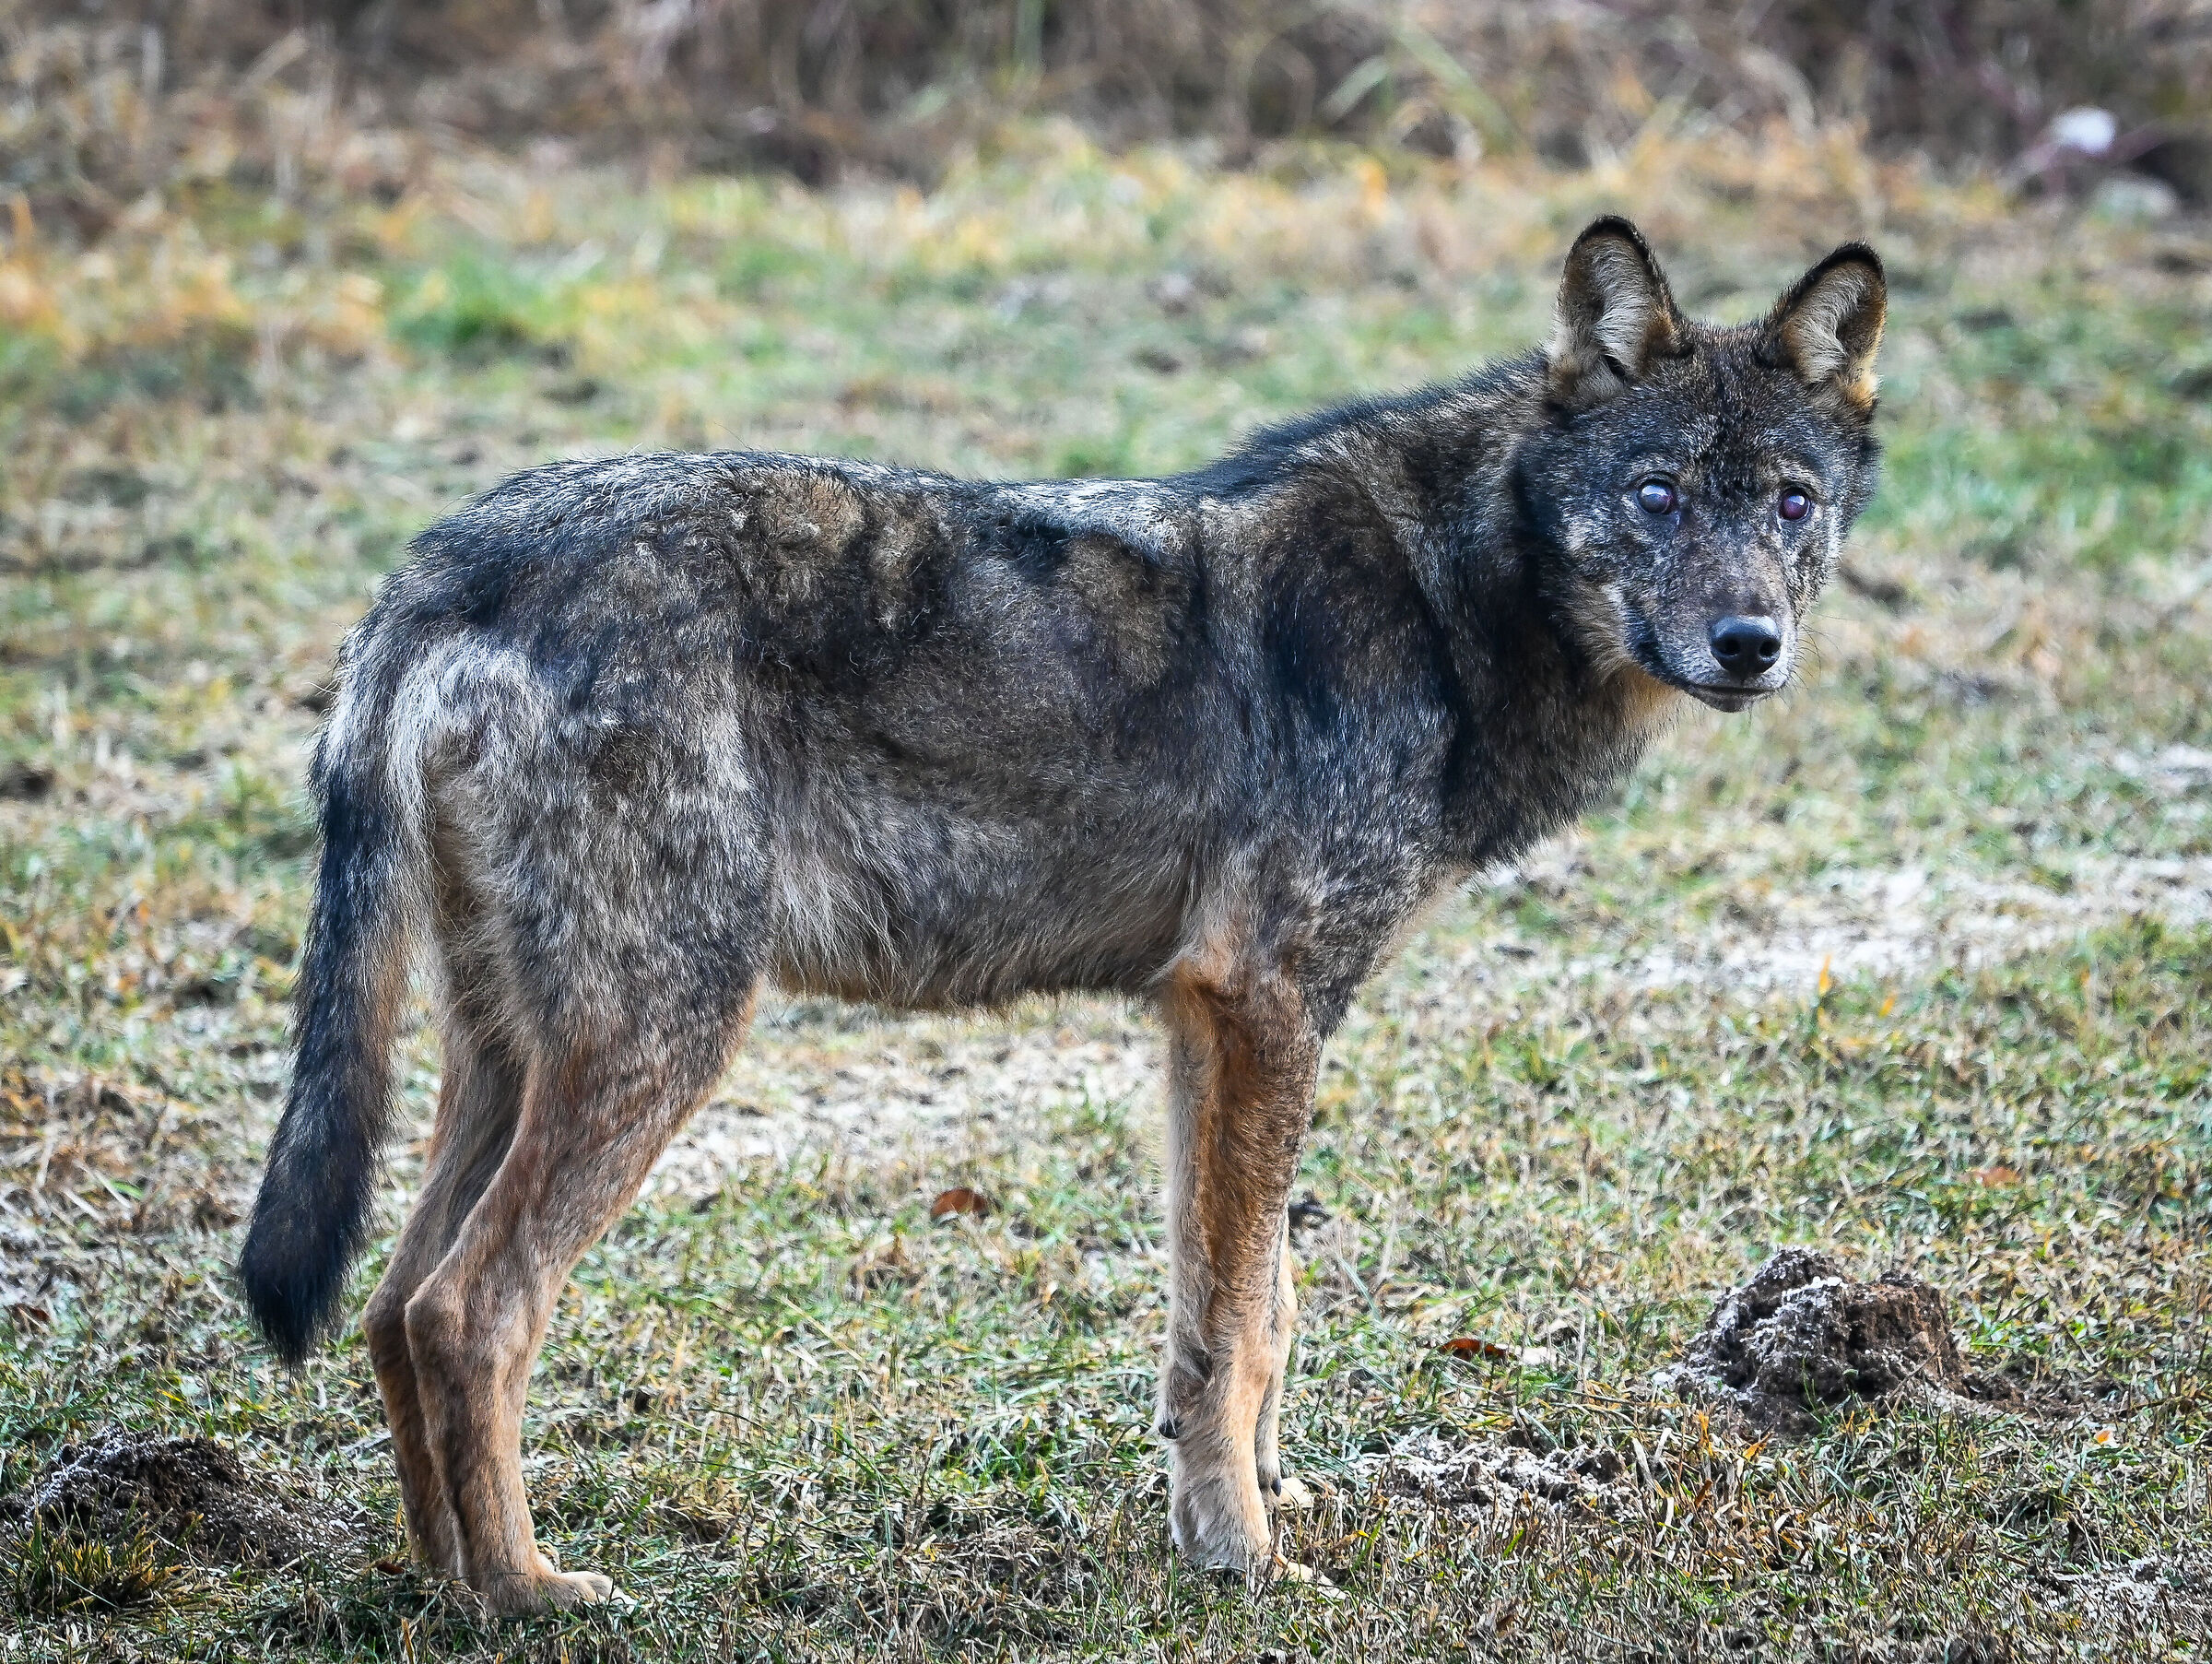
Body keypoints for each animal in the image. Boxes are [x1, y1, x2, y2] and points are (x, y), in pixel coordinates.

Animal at [238, 217, 1885, 1612]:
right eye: (1657, 497)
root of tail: (442, 564)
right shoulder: (1266, 1001)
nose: (1750, 642)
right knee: (471, 1311)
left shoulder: (1207, 1024)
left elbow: (1242, 1311)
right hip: (662, 1041)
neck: (1444, 601)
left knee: (391, 1308)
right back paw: (529, 1593)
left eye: (1789, 505)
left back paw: (441, 1585)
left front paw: (1251, 1504)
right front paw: (1247, 1557)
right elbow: (1243, 1320)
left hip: (513, 1055)